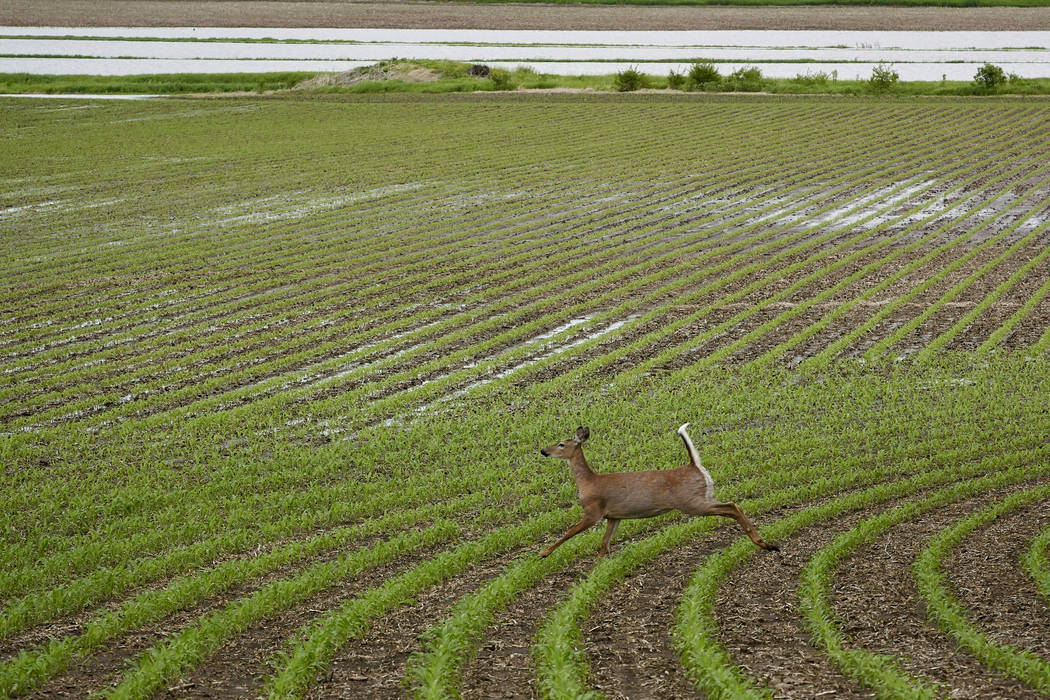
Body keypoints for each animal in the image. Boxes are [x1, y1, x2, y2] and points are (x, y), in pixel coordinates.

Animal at [541, 423, 781, 562]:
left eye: (561, 444)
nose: (543, 451)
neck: (588, 482)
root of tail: (695, 465)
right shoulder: (614, 516)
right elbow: (603, 544)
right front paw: (597, 571)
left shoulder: (593, 511)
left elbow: (568, 533)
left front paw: (542, 553)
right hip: (706, 495)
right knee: (732, 505)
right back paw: (767, 543)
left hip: (691, 502)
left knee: (732, 506)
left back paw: (763, 543)